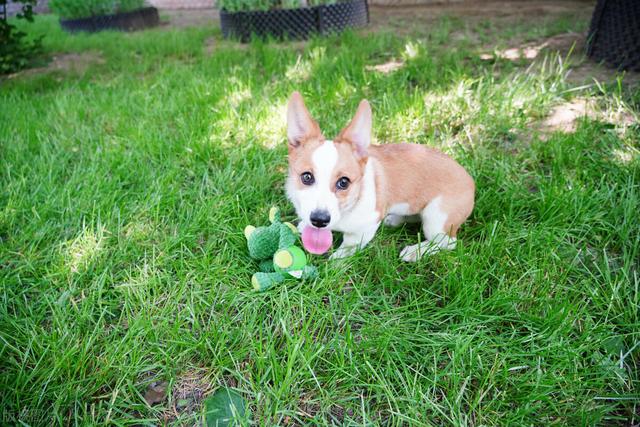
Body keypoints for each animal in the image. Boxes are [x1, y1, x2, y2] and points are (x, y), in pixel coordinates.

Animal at [286, 92, 476, 262]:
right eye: (306, 177)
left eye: (344, 182)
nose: (319, 220)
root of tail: (470, 181)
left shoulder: (364, 228)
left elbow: (349, 245)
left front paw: (338, 260)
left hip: (436, 217)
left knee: (446, 241)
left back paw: (415, 252)